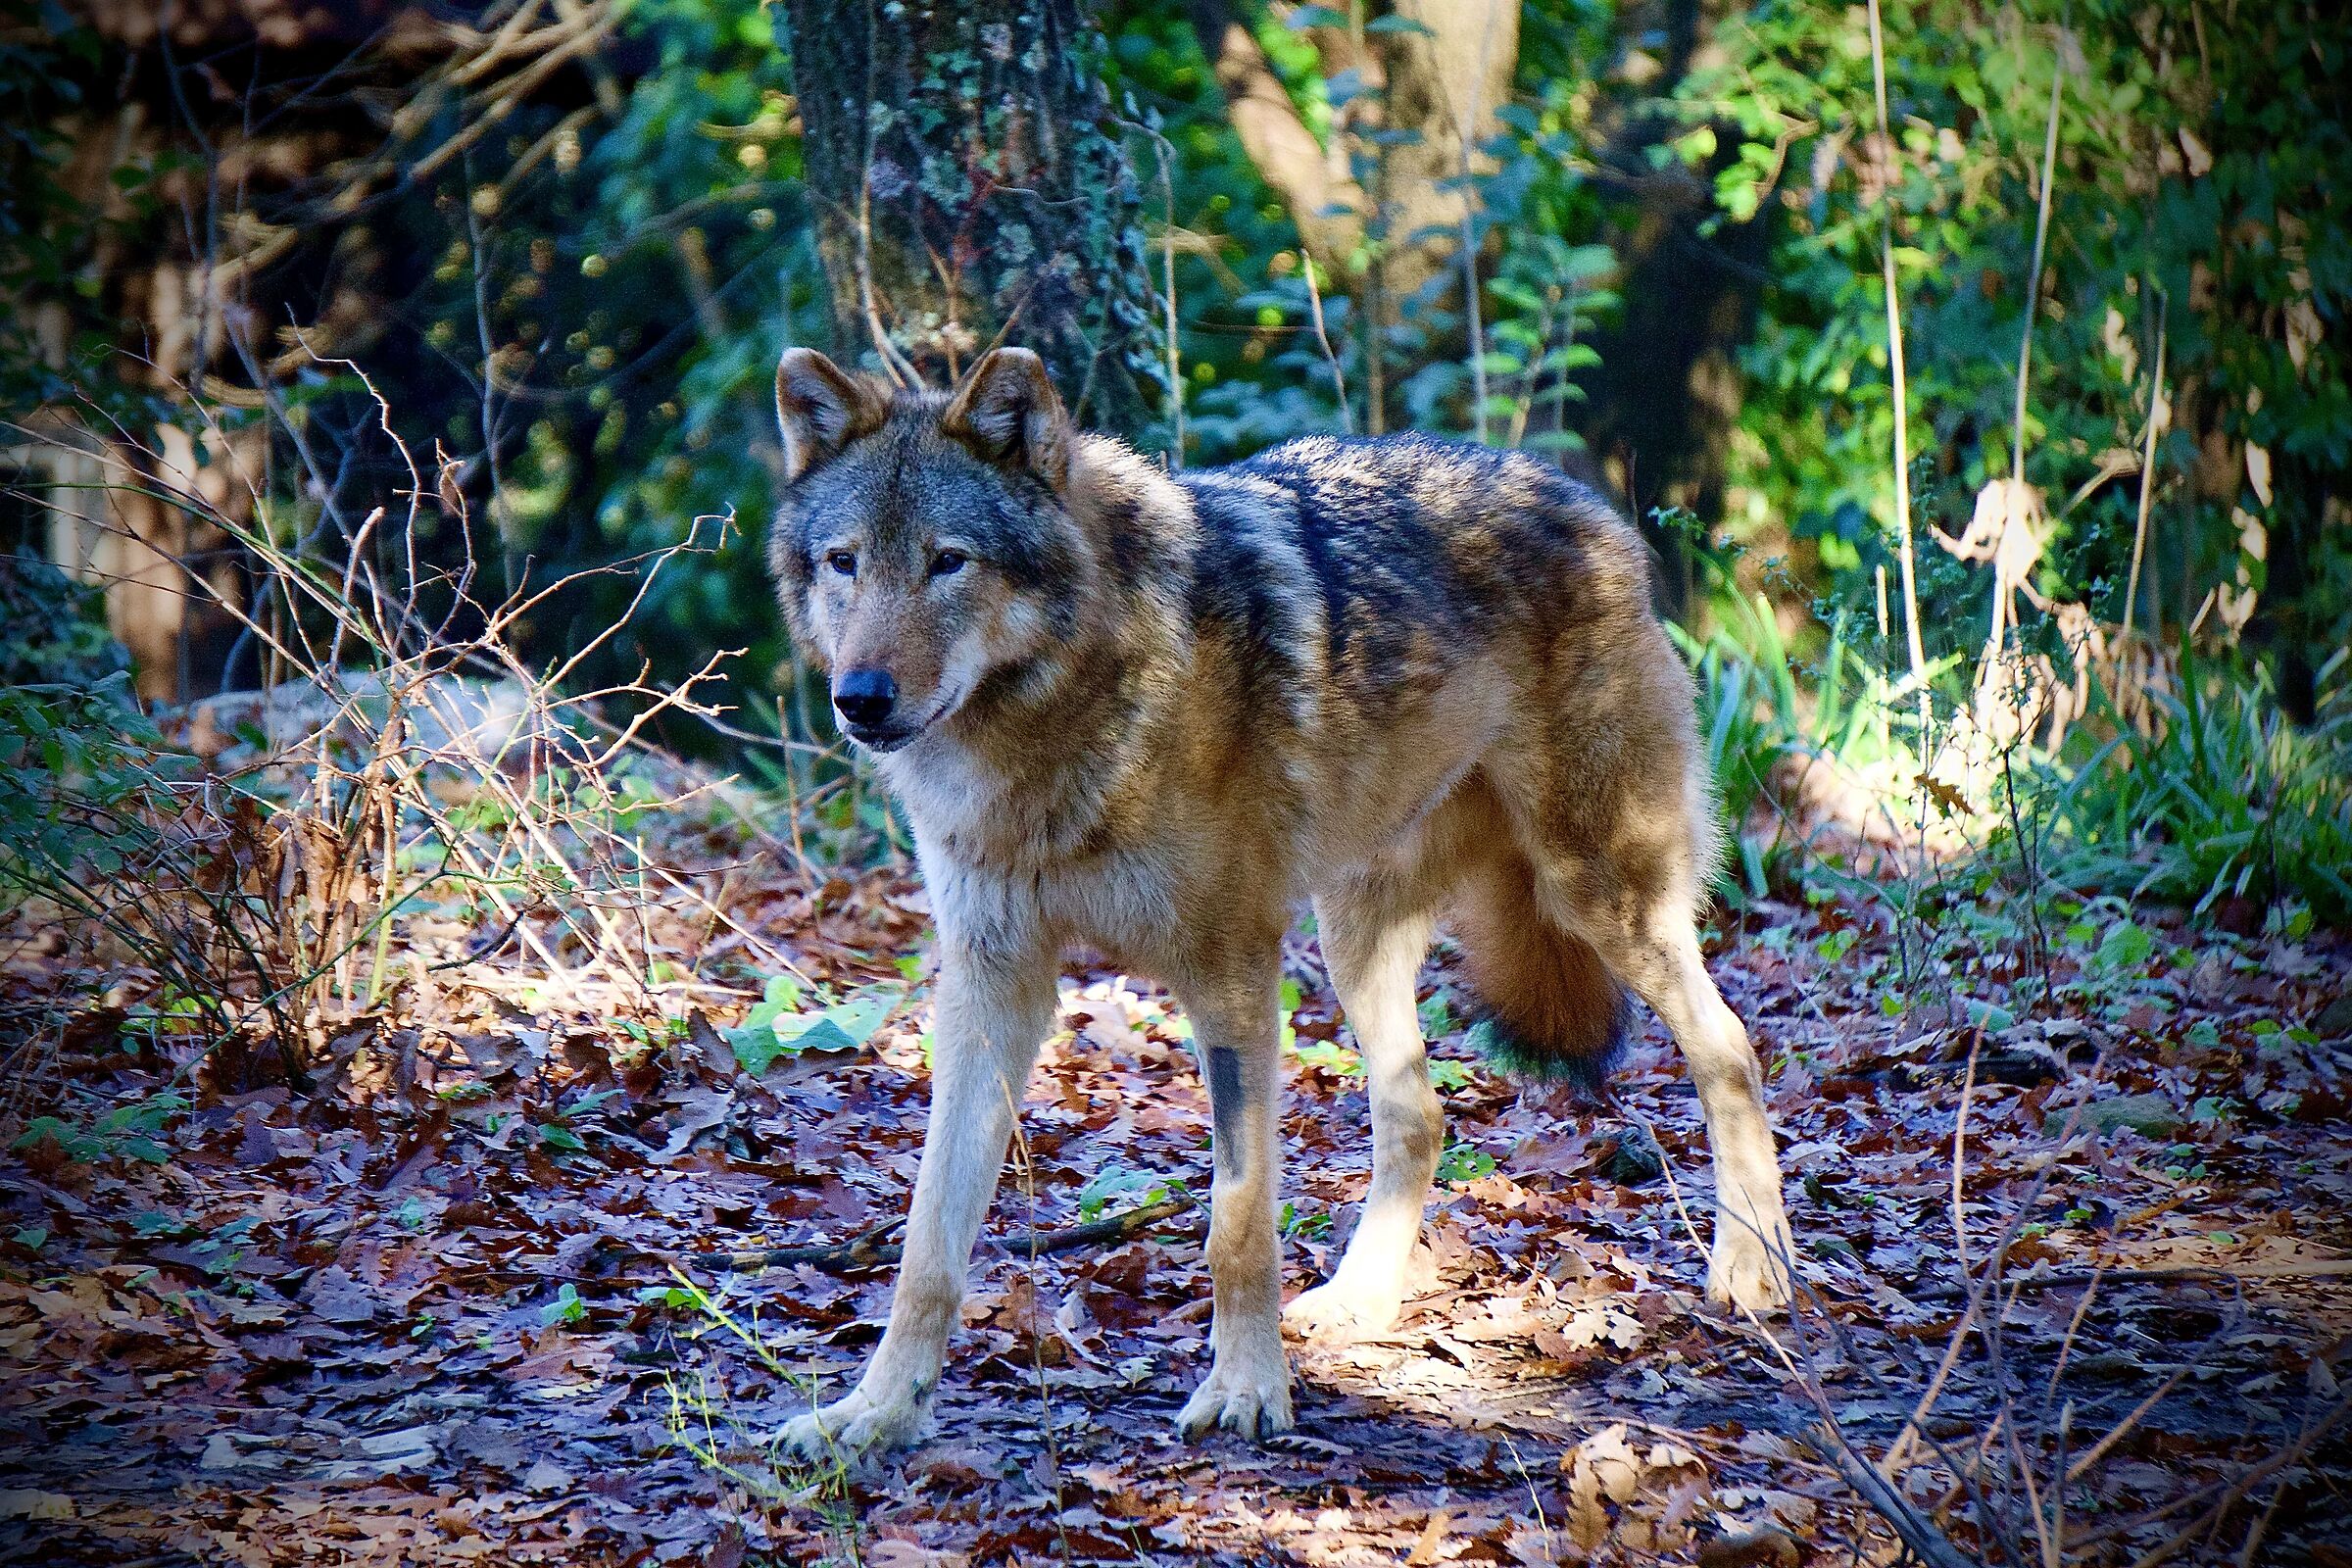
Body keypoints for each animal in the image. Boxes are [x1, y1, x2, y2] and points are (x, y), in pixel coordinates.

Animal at [765, 345, 1795, 1453]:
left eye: (948, 561)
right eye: (845, 562)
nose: (859, 698)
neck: (1057, 729)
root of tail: (1589, 506)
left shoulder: (1230, 973)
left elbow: (1237, 1221)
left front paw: (1247, 1392)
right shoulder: (991, 988)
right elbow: (926, 1238)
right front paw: (871, 1412)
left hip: (1599, 896)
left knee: (1730, 1046)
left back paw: (1754, 1267)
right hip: (1355, 936)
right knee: (1418, 1112)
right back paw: (1360, 1301)